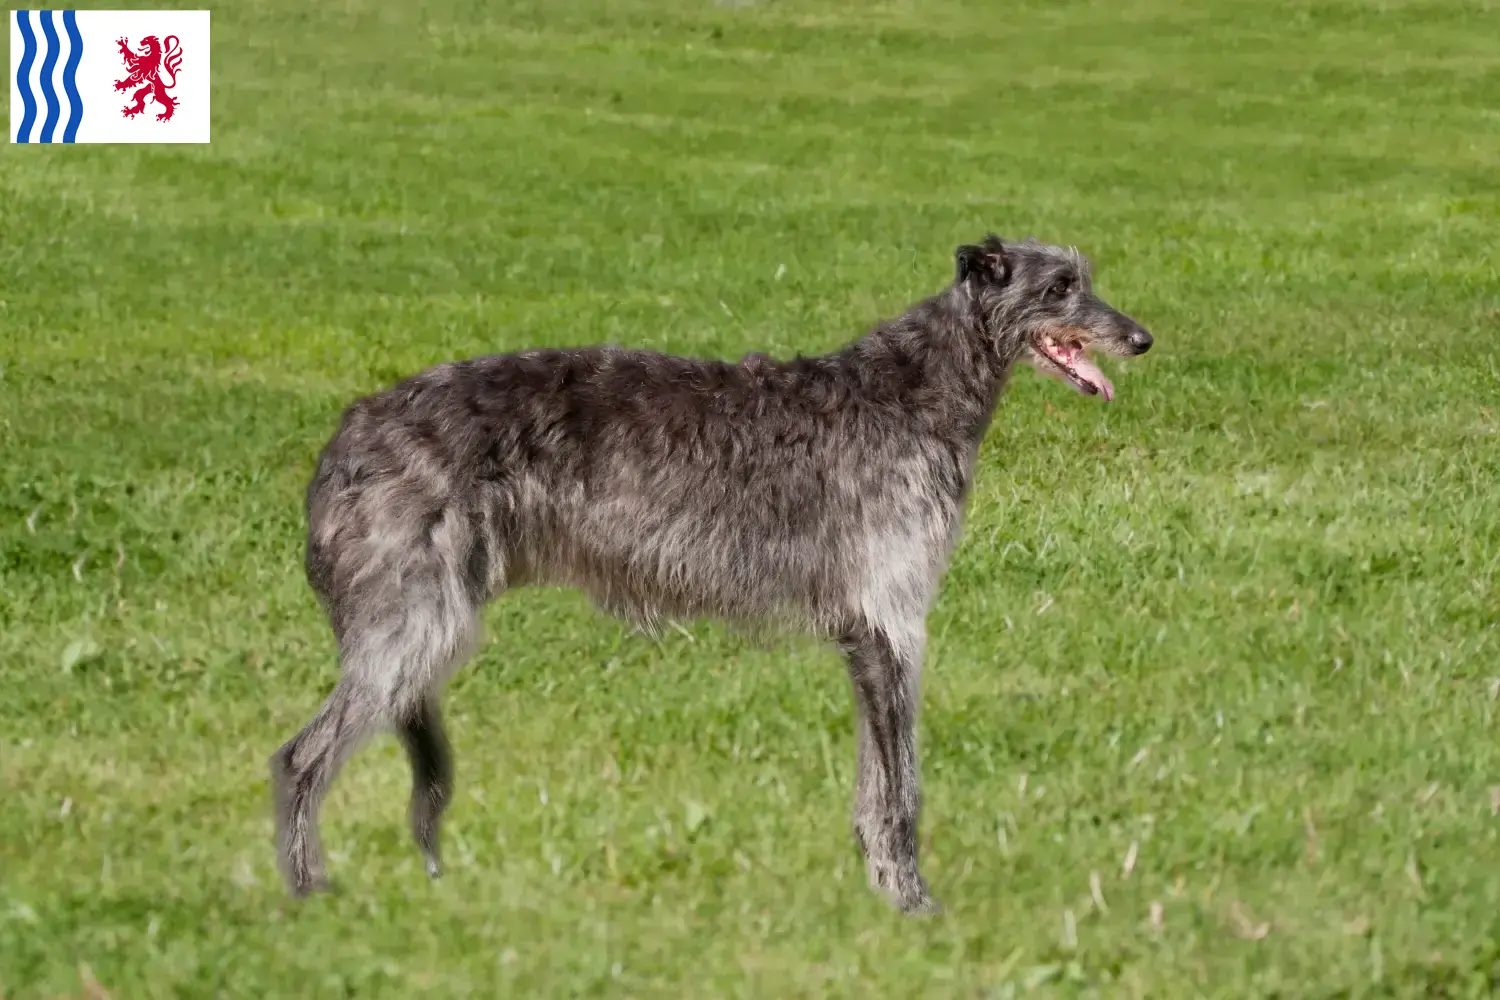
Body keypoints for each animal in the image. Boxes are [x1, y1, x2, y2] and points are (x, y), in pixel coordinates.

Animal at [270, 232, 1152, 917]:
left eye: (1087, 277)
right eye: (1060, 287)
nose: (1142, 338)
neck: (917, 392)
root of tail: (346, 436)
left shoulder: (867, 636)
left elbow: (874, 788)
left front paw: (879, 890)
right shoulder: (890, 623)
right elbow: (901, 788)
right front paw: (913, 903)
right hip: (414, 624)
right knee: (298, 758)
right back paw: (310, 894)